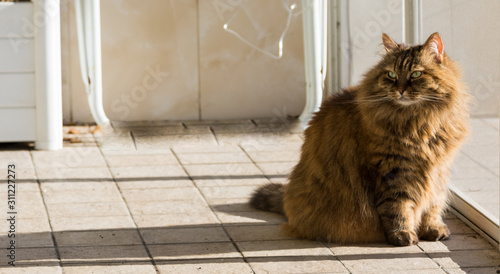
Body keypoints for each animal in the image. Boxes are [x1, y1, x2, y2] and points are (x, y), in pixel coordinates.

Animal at [250, 32, 468, 246]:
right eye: (391, 75)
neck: (419, 122)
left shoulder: (439, 170)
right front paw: (402, 234)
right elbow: (398, 208)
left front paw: (432, 229)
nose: (400, 90)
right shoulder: (392, 171)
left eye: (416, 74)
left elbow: (433, 204)